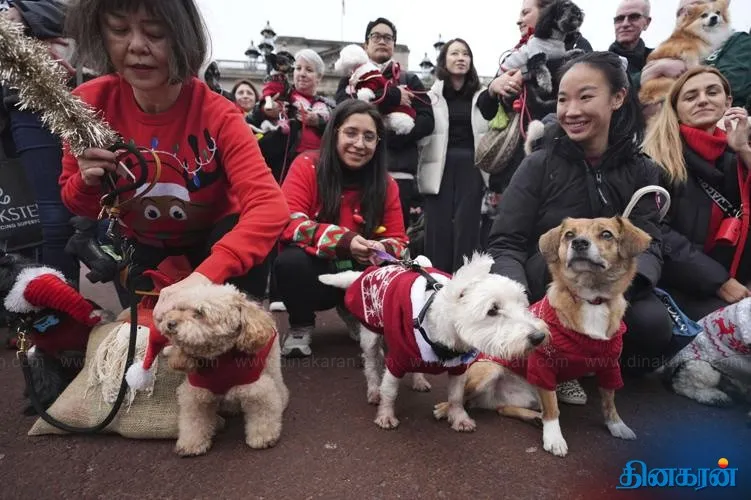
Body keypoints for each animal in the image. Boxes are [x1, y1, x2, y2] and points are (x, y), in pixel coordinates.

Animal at [320, 254, 548, 430]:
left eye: (522, 304)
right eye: (492, 309)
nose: (539, 337)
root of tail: (369, 271)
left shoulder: (459, 368)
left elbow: (456, 396)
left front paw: (459, 419)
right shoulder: (397, 361)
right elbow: (390, 390)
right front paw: (385, 415)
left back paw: (419, 380)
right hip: (371, 334)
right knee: (371, 365)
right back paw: (374, 391)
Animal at [434, 216, 652, 458]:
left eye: (606, 234)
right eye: (569, 234)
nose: (578, 242)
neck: (591, 300)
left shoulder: (610, 365)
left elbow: (609, 400)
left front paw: (617, 425)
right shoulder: (544, 366)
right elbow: (553, 408)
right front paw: (554, 438)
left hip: (525, 397)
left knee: (502, 409)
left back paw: (532, 417)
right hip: (489, 370)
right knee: (461, 397)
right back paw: (446, 409)